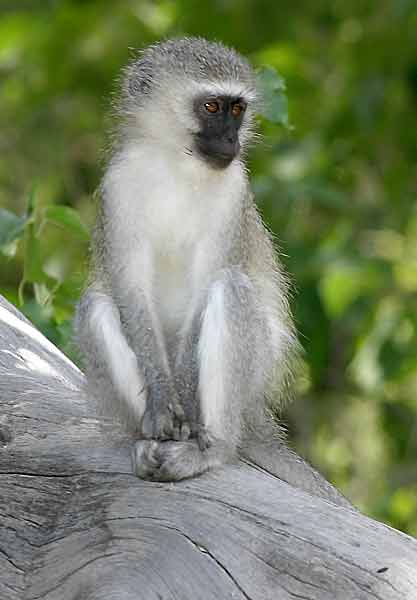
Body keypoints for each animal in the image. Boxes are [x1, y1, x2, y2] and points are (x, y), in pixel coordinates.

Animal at [74, 37, 296, 480]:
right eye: (211, 107)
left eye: (237, 109)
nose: (231, 141)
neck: (177, 162)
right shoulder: (117, 184)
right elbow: (131, 291)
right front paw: (162, 403)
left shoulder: (233, 191)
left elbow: (206, 288)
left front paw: (190, 412)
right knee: (95, 305)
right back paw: (149, 439)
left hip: (256, 375)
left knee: (231, 289)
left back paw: (211, 449)